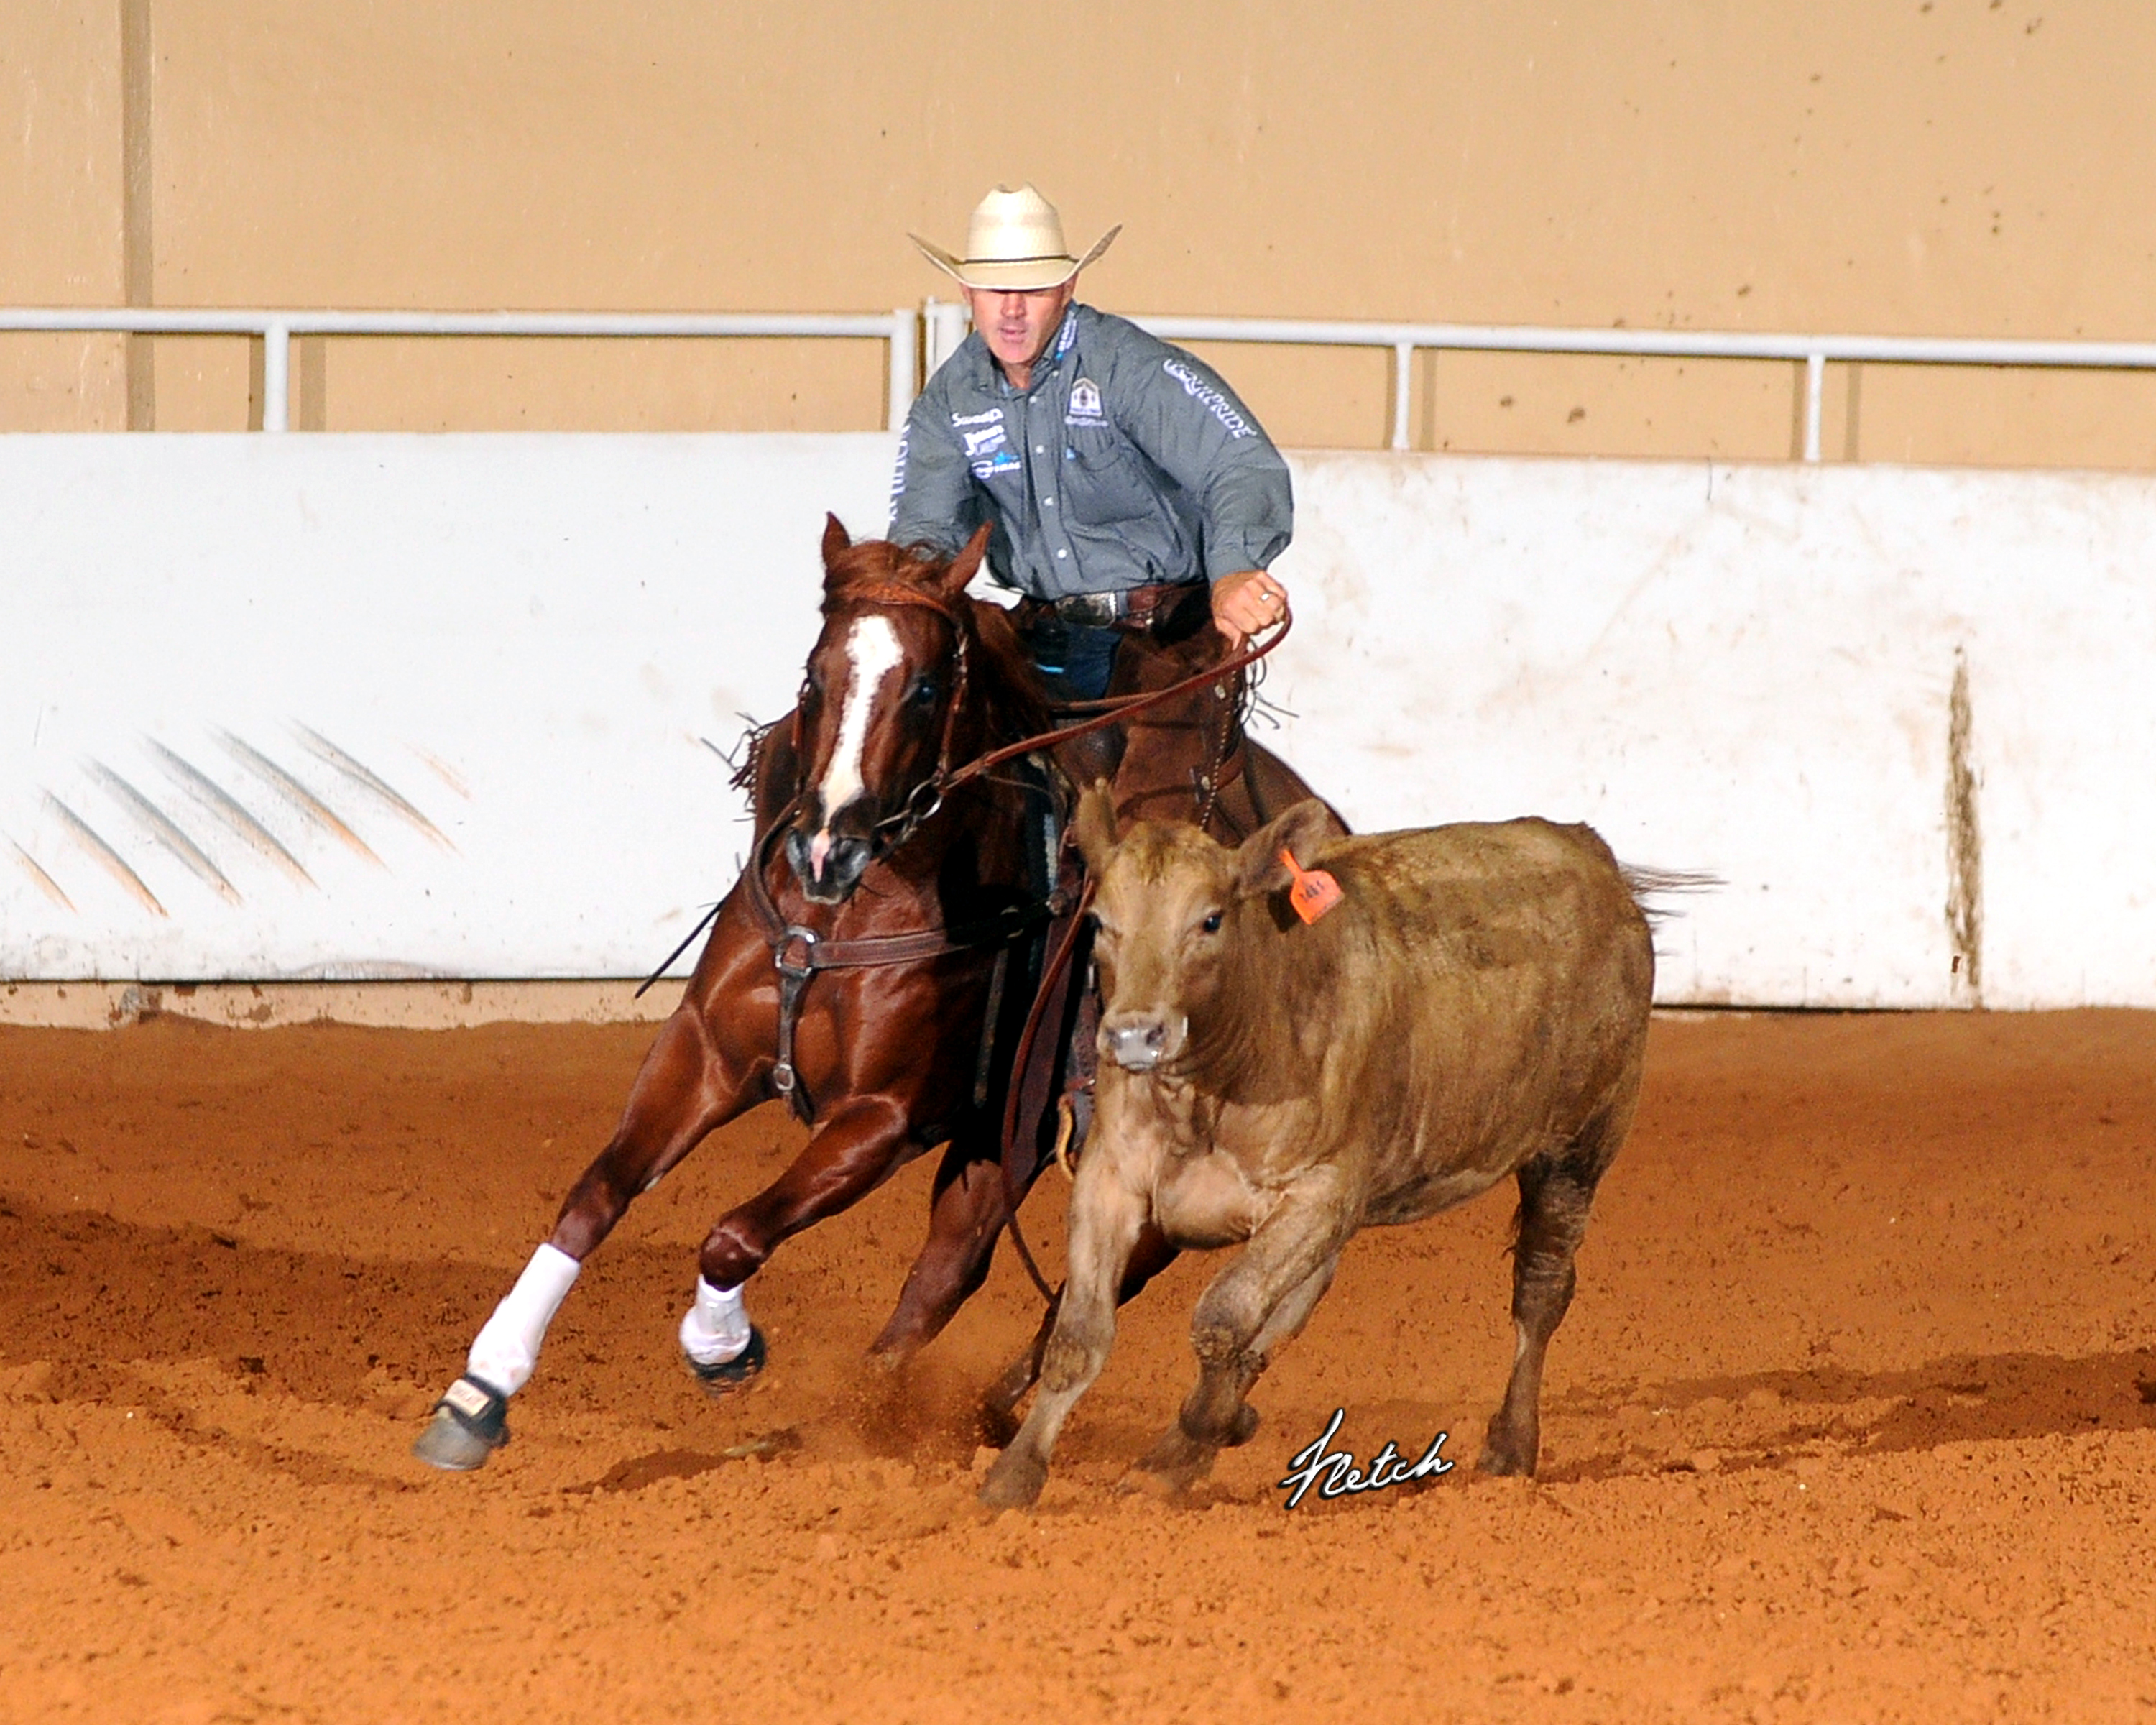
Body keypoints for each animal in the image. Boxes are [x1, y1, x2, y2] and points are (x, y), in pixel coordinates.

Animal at [414, 516, 1331, 1471]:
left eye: (925, 690)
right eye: (815, 678)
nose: (827, 846)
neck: (847, 913)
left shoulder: (885, 1116)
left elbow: (734, 1234)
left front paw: (722, 1348)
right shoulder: (705, 1051)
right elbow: (597, 1194)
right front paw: (480, 1391)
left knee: (1090, 1282)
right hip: (1000, 1143)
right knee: (951, 1270)